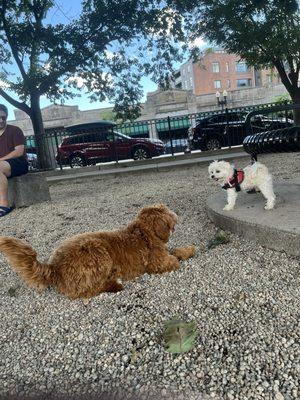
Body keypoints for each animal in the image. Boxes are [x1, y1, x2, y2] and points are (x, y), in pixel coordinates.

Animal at [0, 205, 196, 298]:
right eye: (168, 212)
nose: (176, 215)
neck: (144, 233)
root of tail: (54, 267)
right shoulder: (157, 262)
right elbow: (173, 260)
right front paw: (184, 255)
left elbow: (175, 251)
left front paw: (188, 249)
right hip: (99, 255)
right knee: (84, 292)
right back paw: (114, 285)